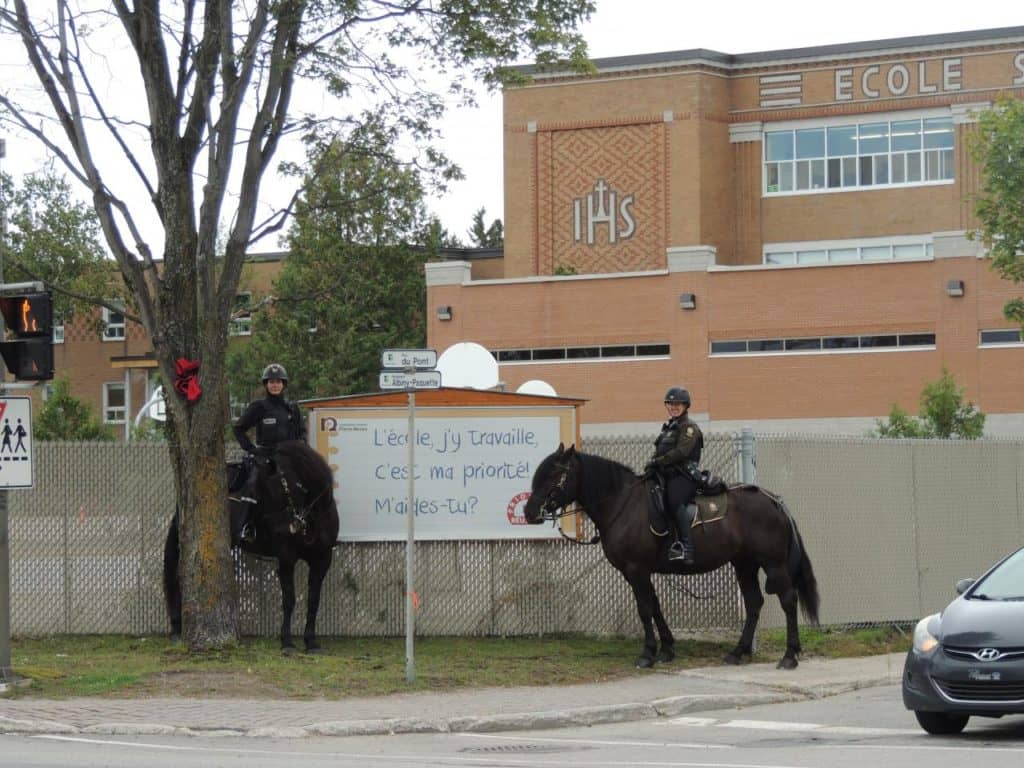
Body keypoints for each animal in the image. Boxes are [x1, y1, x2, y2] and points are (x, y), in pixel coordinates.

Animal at [161, 438, 342, 655]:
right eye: (249, 482)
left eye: (260, 484)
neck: (310, 516)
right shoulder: (286, 558)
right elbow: (289, 599)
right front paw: (287, 642)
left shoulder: (322, 559)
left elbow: (313, 600)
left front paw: (311, 642)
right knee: (178, 575)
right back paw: (177, 628)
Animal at [524, 448, 819, 671]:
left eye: (555, 474)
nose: (529, 512)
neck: (623, 504)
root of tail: (774, 501)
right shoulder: (639, 572)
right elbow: (655, 607)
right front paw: (666, 649)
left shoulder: (636, 570)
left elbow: (645, 609)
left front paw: (647, 654)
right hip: (744, 564)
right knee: (754, 603)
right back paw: (738, 652)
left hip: (773, 564)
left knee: (788, 600)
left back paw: (790, 656)